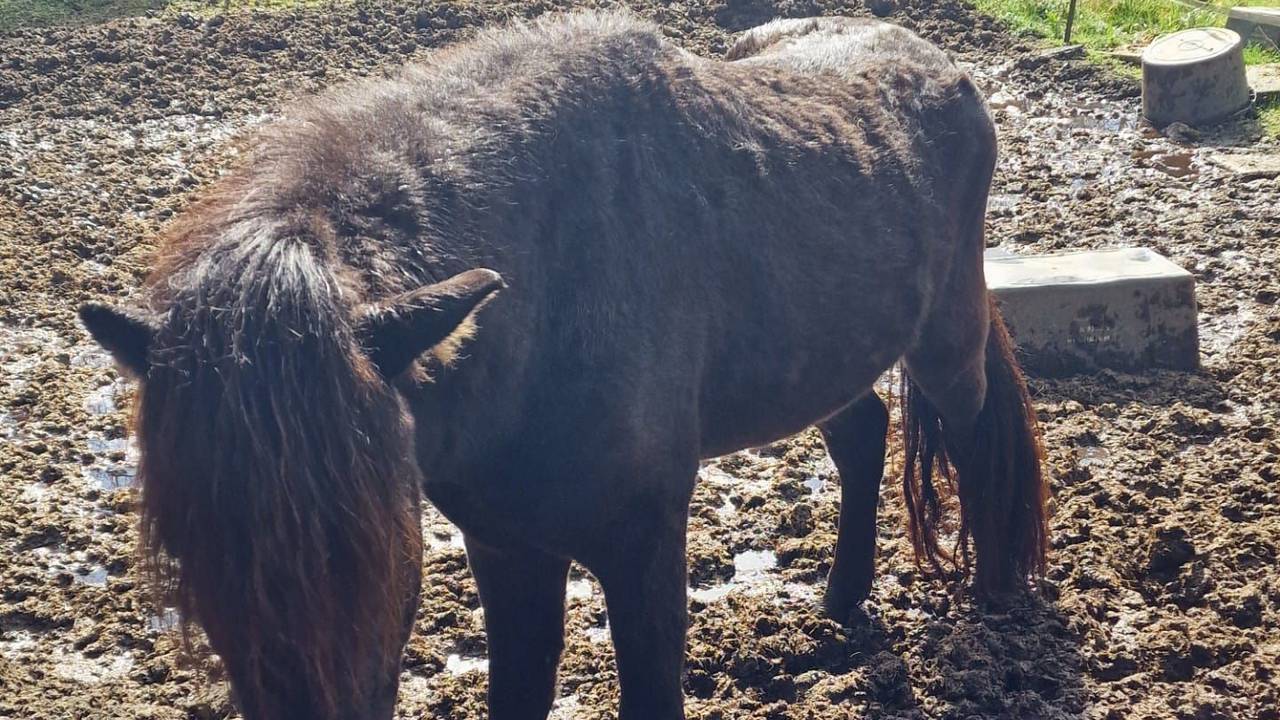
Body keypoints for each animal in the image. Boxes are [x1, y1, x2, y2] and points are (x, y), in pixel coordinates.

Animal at [79, 11, 1048, 720]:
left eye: (376, 561)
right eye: (196, 557)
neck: (547, 302)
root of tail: (935, 60)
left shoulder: (645, 545)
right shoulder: (506, 547)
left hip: (946, 339)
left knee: (973, 429)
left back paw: (997, 602)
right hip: (818, 356)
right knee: (861, 431)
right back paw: (840, 605)